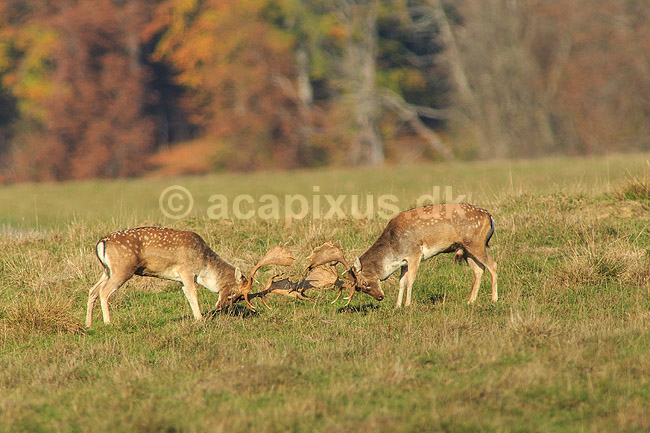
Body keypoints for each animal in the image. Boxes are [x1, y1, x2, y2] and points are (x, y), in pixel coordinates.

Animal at [85, 227, 295, 327]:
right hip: (122, 269)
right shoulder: (186, 271)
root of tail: (101, 242)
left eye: (236, 299)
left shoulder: (181, 279)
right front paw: (200, 319)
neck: (203, 267)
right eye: (234, 292)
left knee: (92, 290)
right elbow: (193, 294)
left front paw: (197, 318)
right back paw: (108, 322)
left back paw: (88, 324)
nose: (221, 307)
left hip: (107, 271)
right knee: (104, 292)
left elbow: (187, 294)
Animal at [340, 203, 498, 307]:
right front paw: (397, 306)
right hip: (466, 249)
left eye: (364, 283)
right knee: (479, 269)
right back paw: (470, 301)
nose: (380, 297)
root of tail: (489, 216)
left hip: (476, 243)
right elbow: (401, 282)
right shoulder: (404, 262)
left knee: (493, 265)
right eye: (358, 288)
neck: (394, 248)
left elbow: (410, 280)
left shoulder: (414, 253)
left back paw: (494, 299)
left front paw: (407, 305)